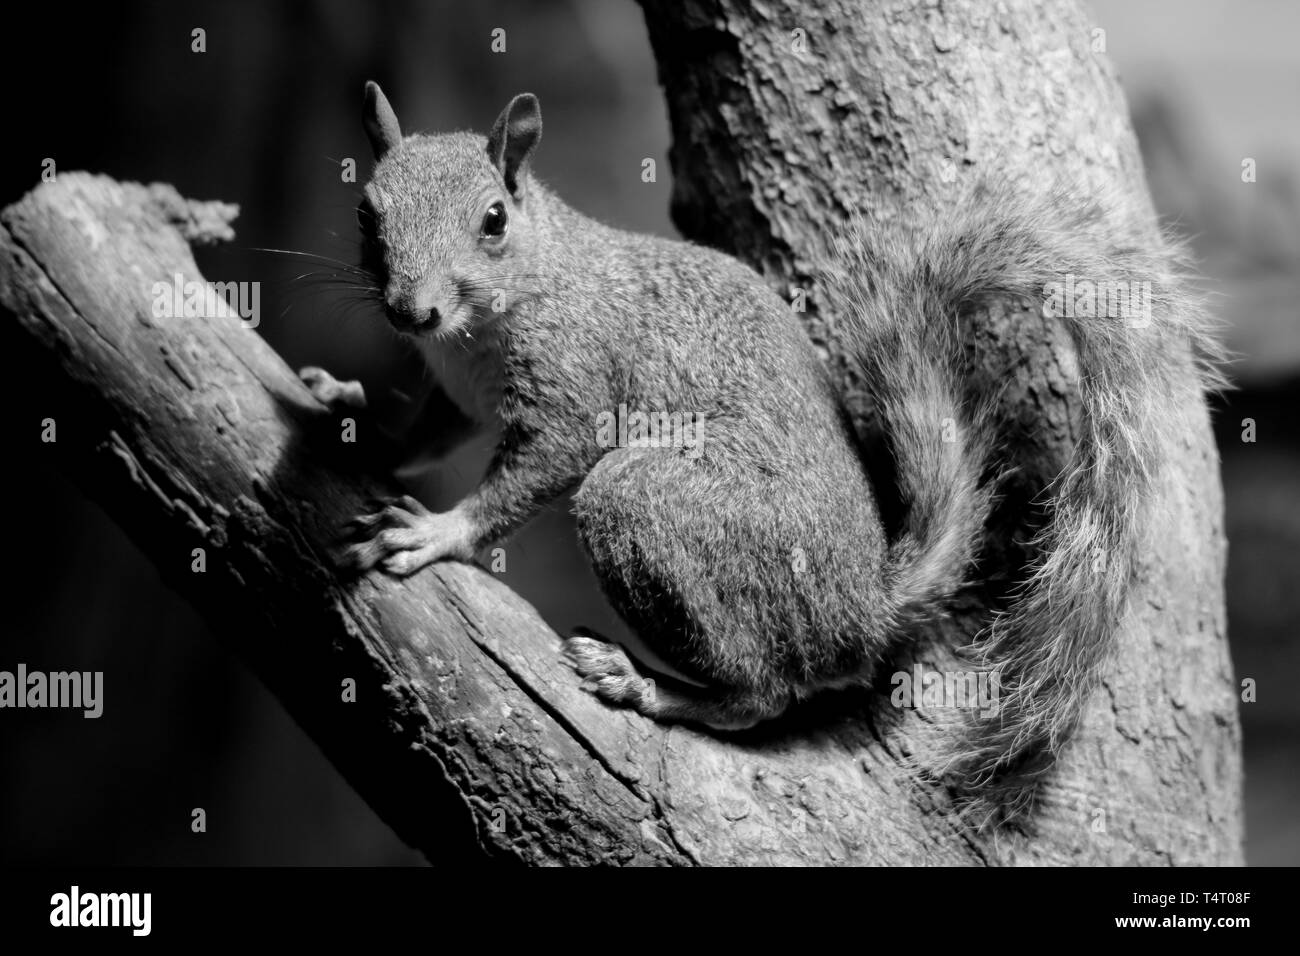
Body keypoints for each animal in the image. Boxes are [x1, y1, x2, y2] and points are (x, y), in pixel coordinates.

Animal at [299, 82, 1224, 826]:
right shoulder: (455, 395)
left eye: (493, 219)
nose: (410, 310)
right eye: (366, 212)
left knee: (761, 694)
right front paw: (346, 409)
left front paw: (438, 531)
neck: (505, 305)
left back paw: (652, 685)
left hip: (657, 510)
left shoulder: (572, 383)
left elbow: (528, 473)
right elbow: (424, 435)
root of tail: (865, 607)